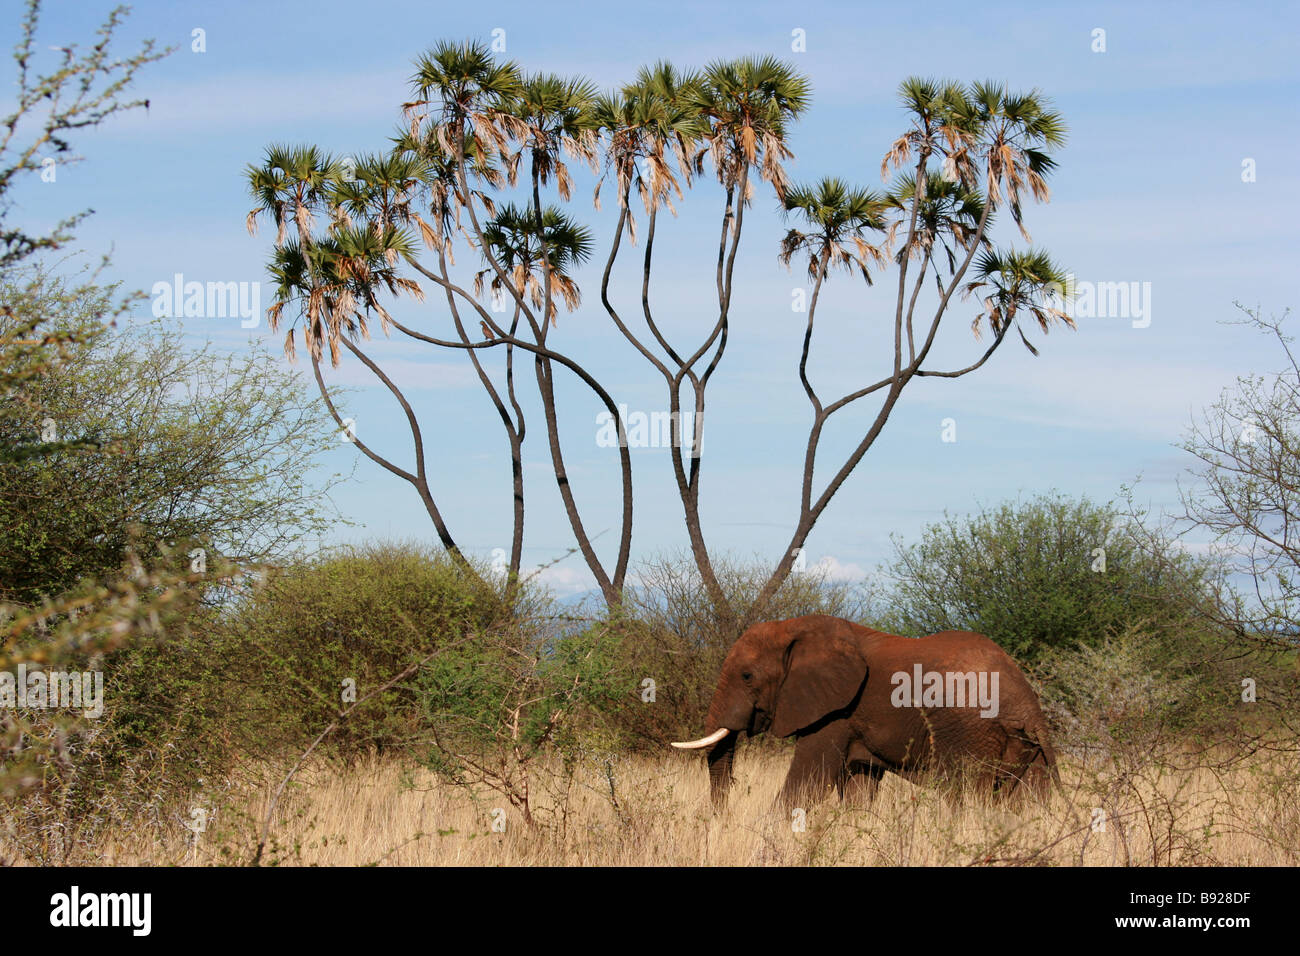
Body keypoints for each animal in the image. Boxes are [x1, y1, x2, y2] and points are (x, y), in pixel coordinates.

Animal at [676, 616, 1060, 811]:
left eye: (746, 676)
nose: (721, 819)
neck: (802, 627)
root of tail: (1028, 703)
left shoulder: (836, 712)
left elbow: (809, 782)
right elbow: (860, 788)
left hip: (970, 731)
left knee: (963, 796)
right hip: (1027, 748)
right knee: (1026, 802)